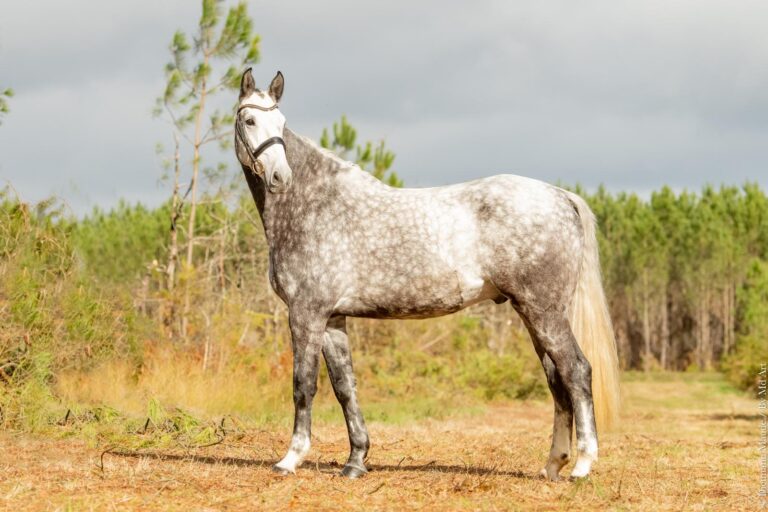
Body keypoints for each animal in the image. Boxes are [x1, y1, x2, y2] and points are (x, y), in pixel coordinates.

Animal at [234, 68, 620, 481]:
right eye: (249, 120)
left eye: (282, 123)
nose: (279, 176)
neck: (313, 205)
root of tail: (561, 196)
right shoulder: (332, 318)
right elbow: (345, 387)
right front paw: (356, 461)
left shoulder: (306, 313)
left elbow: (303, 385)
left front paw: (290, 458)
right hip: (534, 314)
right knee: (556, 379)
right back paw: (553, 464)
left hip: (544, 312)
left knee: (577, 371)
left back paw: (582, 464)